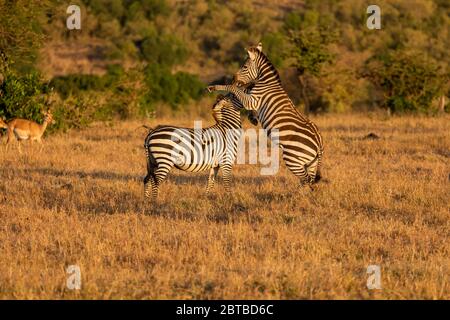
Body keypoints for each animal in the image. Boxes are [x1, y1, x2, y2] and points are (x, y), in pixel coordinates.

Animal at [207, 43, 324, 186]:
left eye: (244, 67)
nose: (234, 79)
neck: (267, 83)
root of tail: (319, 144)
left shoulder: (253, 100)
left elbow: (234, 88)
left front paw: (214, 87)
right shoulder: (252, 99)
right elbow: (243, 91)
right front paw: (252, 118)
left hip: (293, 159)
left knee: (307, 180)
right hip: (310, 163)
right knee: (310, 181)